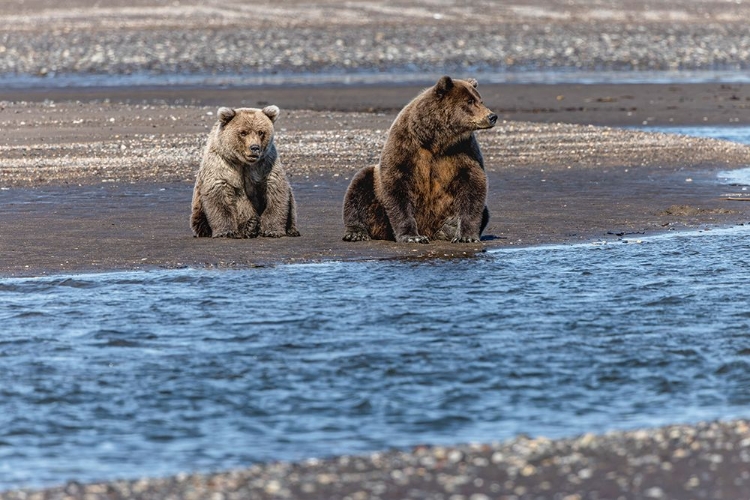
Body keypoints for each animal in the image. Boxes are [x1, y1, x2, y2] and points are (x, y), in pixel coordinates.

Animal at [189, 105, 302, 238]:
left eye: (261, 132)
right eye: (243, 132)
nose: (254, 147)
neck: (244, 163)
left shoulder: (265, 165)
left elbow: (276, 192)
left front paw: (271, 230)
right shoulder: (222, 165)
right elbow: (219, 197)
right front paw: (226, 231)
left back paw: (291, 230)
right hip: (198, 209)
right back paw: (249, 226)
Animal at [342, 74, 496, 244]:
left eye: (480, 100)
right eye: (469, 101)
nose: (492, 116)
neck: (436, 139)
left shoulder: (463, 150)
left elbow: (473, 186)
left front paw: (465, 236)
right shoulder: (406, 147)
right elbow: (397, 188)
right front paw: (412, 237)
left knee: (485, 211)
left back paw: (448, 228)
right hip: (376, 205)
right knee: (359, 187)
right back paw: (356, 233)